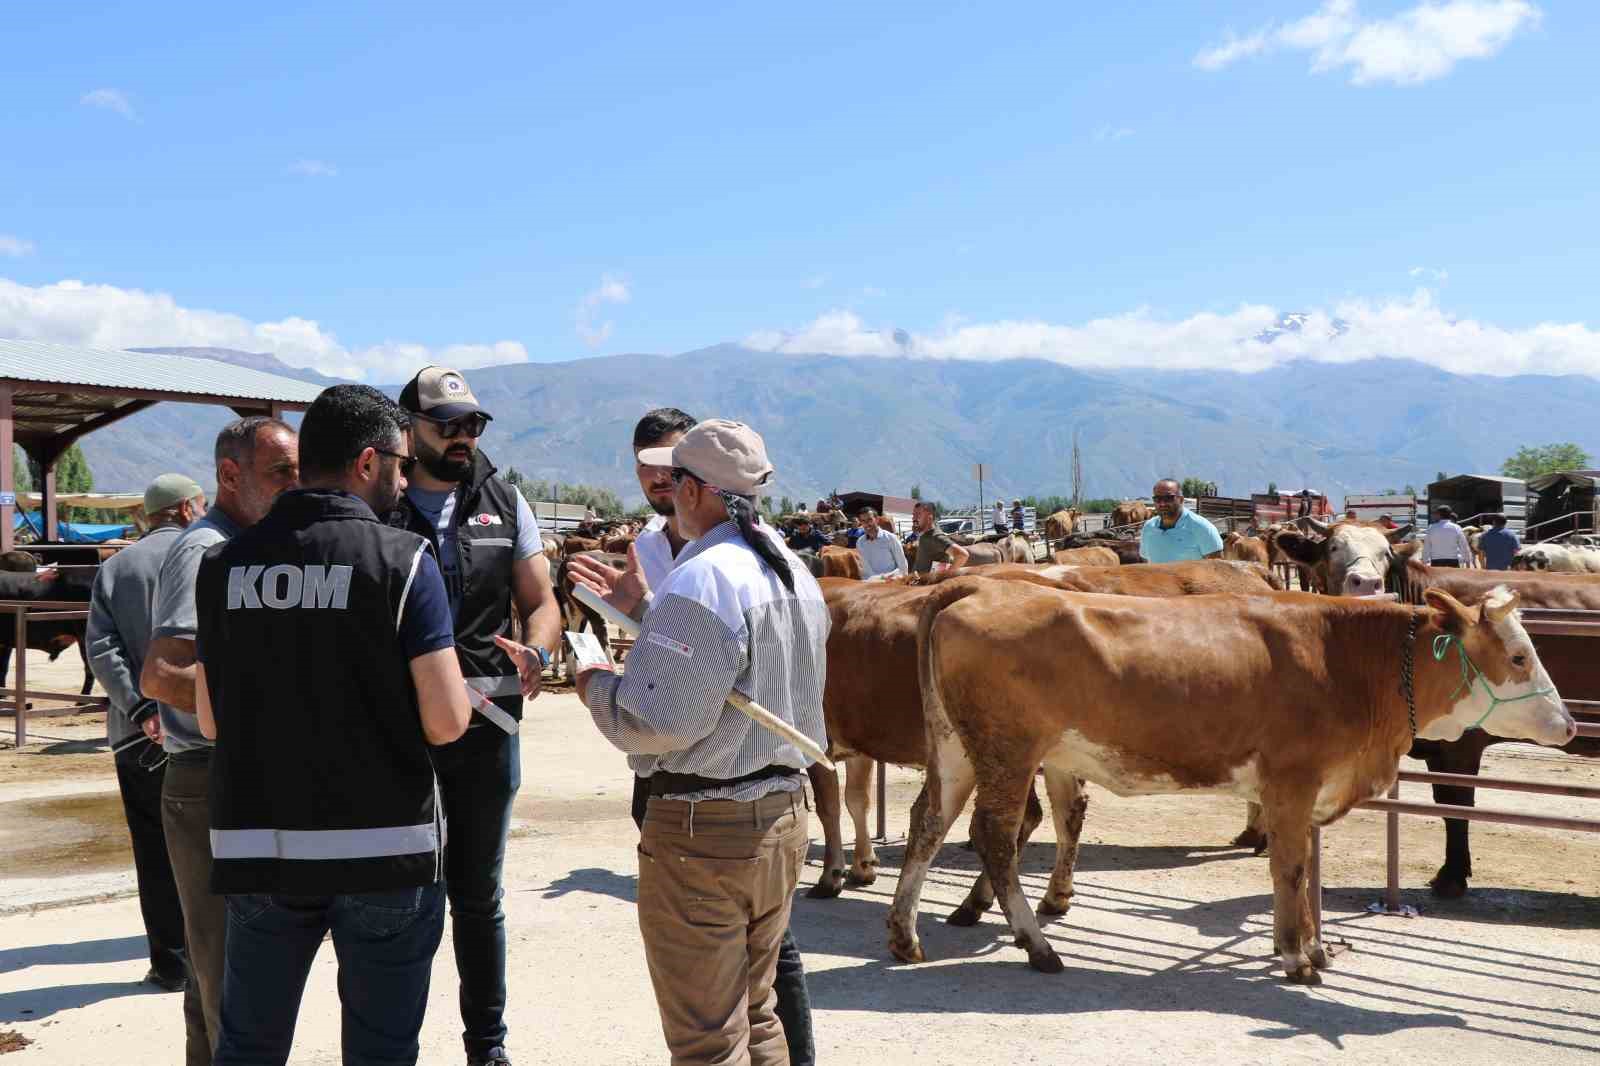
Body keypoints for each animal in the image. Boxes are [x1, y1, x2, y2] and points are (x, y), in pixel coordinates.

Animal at [889, 576, 1574, 973]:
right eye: (1519, 656)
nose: (1569, 723)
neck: (1347, 661)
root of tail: (977, 590)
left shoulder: (1305, 790)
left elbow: (1305, 870)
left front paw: (1311, 945)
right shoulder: (1291, 784)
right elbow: (1290, 870)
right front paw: (1298, 956)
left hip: (956, 749)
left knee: (929, 823)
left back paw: (904, 936)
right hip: (1007, 751)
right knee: (995, 837)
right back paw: (1037, 945)